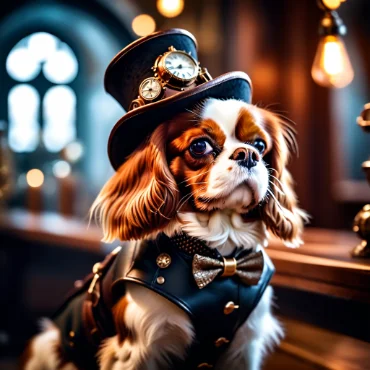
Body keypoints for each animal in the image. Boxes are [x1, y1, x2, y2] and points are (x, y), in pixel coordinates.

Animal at [22, 98, 306, 370]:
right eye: (199, 146)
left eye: (259, 144)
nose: (248, 154)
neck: (220, 260)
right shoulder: (137, 349)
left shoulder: (246, 347)